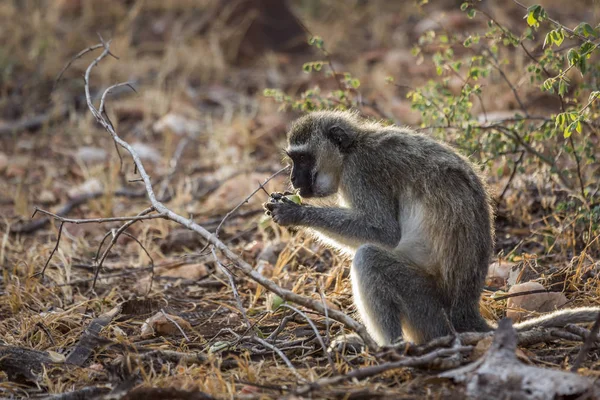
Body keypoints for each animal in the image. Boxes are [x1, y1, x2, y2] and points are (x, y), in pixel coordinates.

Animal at [264, 110, 600, 346]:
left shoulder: (362, 173)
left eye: (303, 158)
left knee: (369, 258)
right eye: (293, 159)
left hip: (427, 310)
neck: (352, 149)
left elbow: (383, 232)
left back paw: (389, 349)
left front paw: (295, 212)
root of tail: (464, 311)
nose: (293, 179)